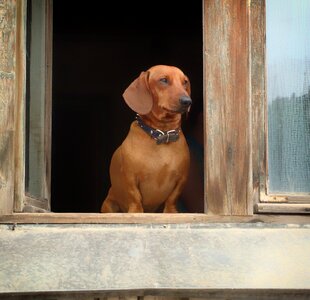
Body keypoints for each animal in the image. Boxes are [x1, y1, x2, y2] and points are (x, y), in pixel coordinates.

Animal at [100, 64, 191, 212]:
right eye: (163, 80)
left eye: (185, 82)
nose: (187, 101)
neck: (162, 133)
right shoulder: (131, 178)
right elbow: (135, 197)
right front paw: (136, 212)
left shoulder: (181, 179)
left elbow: (172, 198)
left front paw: (171, 212)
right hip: (109, 204)